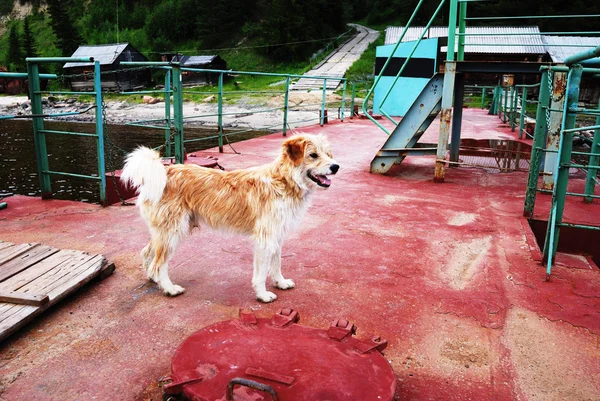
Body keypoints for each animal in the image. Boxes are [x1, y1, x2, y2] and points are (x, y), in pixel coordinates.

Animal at [122, 133, 338, 302]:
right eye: (313, 155)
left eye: (328, 154)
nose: (336, 167)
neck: (283, 181)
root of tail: (166, 170)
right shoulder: (265, 239)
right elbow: (261, 272)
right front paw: (263, 295)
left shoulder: (277, 236)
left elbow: (276, 264)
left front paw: (281, 283)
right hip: (172, 232)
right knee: (159, 264)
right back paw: (169, 288)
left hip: (165, 232)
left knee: (147, 253)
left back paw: (153, 279)